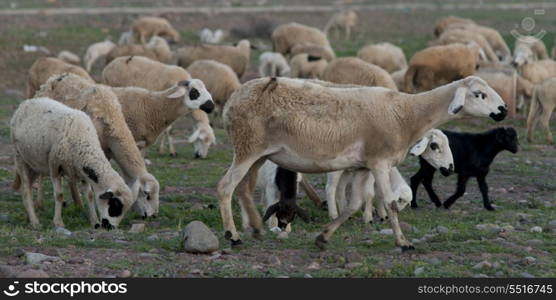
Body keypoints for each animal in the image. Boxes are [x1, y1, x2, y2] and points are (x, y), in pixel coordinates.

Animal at [11, 97, 134, 229]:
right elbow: (59, 195)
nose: (110, 227)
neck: (83, 141)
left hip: (34, 164)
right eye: (115, 204)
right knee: (26, 190)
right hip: (20, 157)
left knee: (28, 187)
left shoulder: (83, 172)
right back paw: (34, 221)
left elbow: (90, 195)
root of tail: (26, 102)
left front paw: (94, 221)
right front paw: (58, 222)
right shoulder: (55, 167)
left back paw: (29, 216)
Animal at [35, 73, 161, 218]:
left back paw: (78, 203)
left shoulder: (106, 151)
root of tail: (52, 79)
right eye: (147, 194)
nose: (153, 216)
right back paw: (40, 204)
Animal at [217, 75, 508, 251]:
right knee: (226, 187)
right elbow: (390, 203)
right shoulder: (380, 162)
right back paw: (233, 235)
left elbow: (354, 203)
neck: (406, 115)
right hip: (247, 147)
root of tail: (233, 99)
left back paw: (255, 228)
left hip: (258, 154)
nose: (503, 110)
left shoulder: (361, 167)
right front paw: (403, 242)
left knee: (243, 189)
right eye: (479, 94)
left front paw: (323, 236)